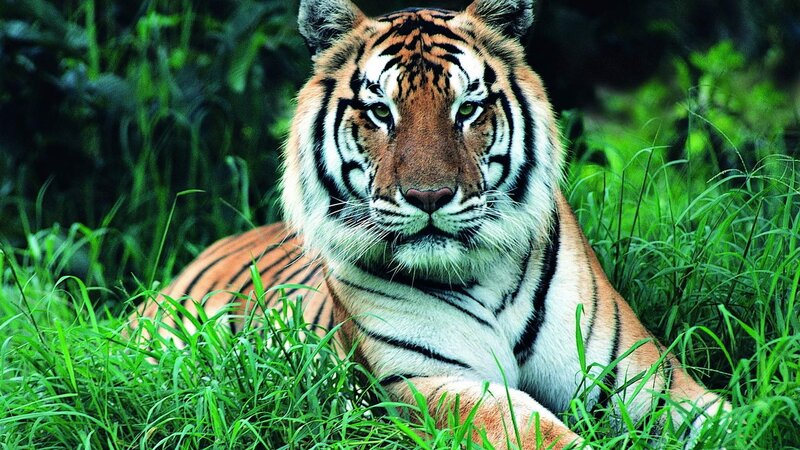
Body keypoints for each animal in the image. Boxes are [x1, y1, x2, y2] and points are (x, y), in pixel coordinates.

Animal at [131, 0, 732, 448]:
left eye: (467, 109)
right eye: (380, 112)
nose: (429, 197)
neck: (489, 282)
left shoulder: (648, 382)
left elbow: (728, 418)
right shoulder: (428, 380)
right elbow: (529, 428)